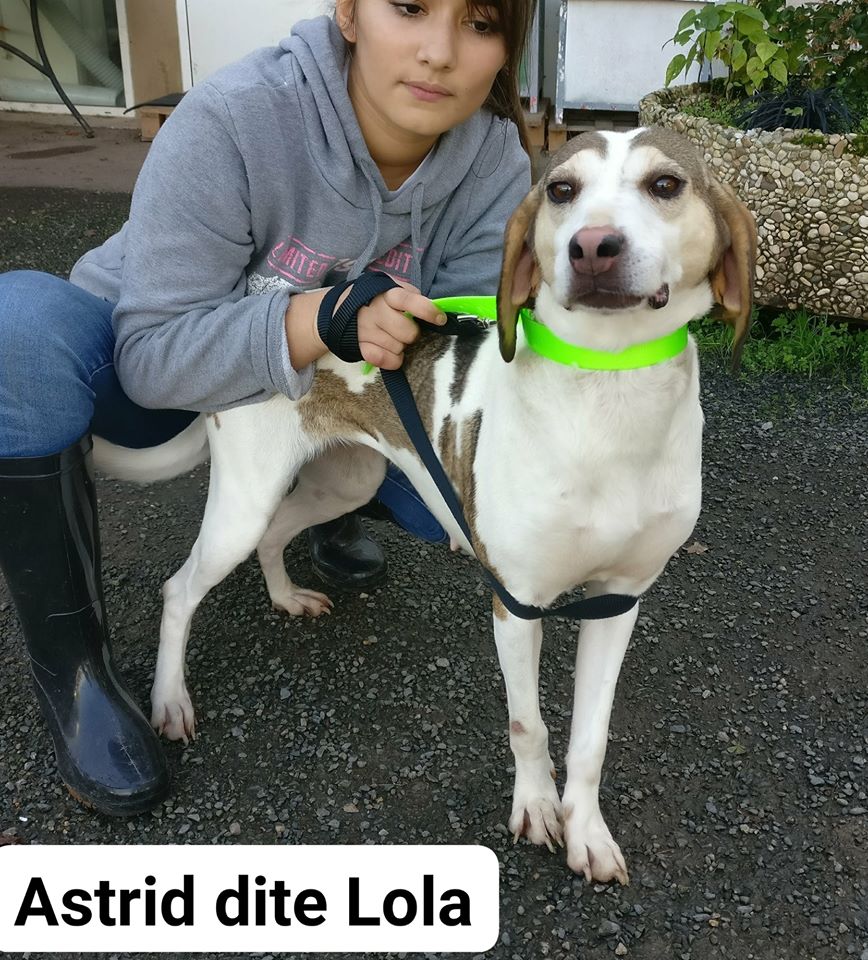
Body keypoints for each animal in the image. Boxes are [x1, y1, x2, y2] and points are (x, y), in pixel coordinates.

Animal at [96, 127, 756, 883]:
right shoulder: (516, 604)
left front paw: (587, 831)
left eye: (666, 184)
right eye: (562, 189)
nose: (592, 247)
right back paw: (170, 700)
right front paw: (536, 809)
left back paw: (287, 595)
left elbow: (591, 738)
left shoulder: (618, 601)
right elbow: (528, 724)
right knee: (180, 589)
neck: (608, 384)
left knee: (275, 536)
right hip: (245, 497)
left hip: (342, 482)